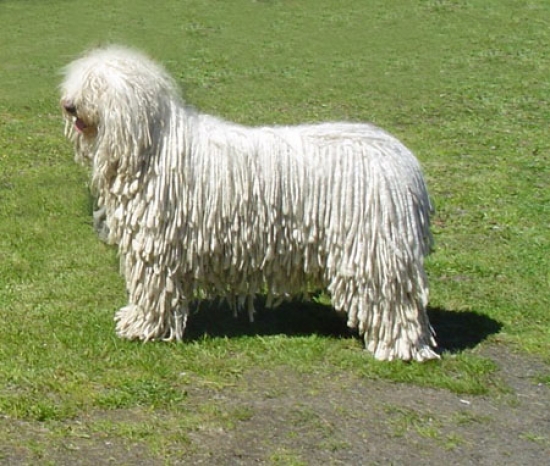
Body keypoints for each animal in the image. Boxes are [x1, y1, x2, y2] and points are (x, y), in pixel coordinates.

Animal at [61, 46, 440, 360]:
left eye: (98, 86)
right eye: (80, 83)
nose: (69, 105)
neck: (156, 148)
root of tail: (405, 162)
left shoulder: (156, 248)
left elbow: (153, 289)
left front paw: (141, 327)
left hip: (373, 249)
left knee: (392, 303)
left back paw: (400, 349)